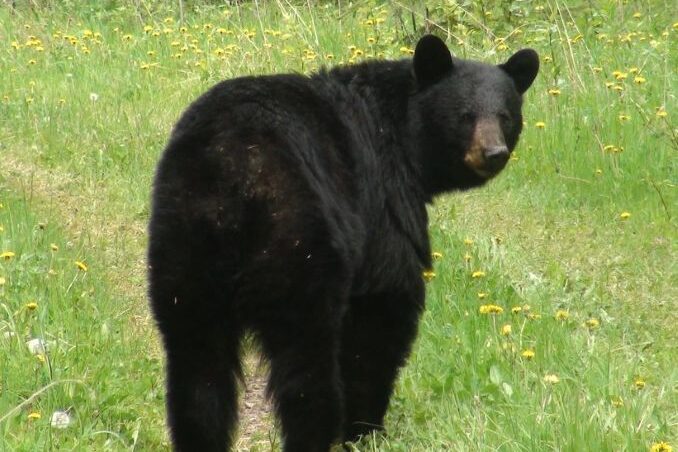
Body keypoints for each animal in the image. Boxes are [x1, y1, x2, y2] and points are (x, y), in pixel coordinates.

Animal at [148, 34, 538, 452]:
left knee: (197, 365)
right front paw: (366, 428)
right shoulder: (382, 200)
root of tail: (232, 174)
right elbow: (382, 314)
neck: (403, 137)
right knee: (305, 368)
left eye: (505, 116)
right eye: (465, 115)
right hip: (299, 243)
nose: (493, 153)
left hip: (183, 244)